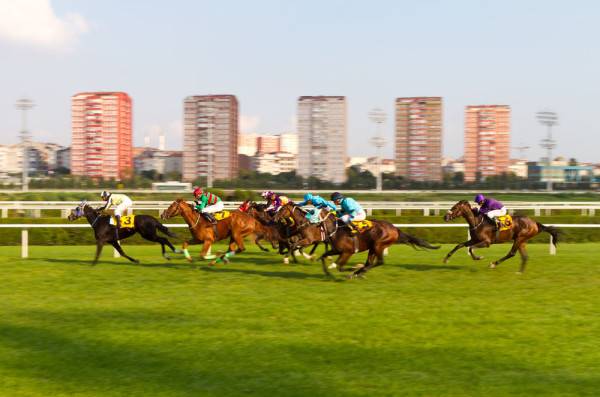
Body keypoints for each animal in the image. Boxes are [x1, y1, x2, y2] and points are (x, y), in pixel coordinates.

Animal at [282, 204, 440, 278]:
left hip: (378, 245)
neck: (335, 229)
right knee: (370, 262)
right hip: (372, 247)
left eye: (312, 211)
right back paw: (359, 272)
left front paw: (351, 269)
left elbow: (341, 266)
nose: (303, 222)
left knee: (379, 262)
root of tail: (395, 228)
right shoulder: (335, 250)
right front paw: (328, 272)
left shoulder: (347, 252)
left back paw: (357, 272)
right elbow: (322, 257)